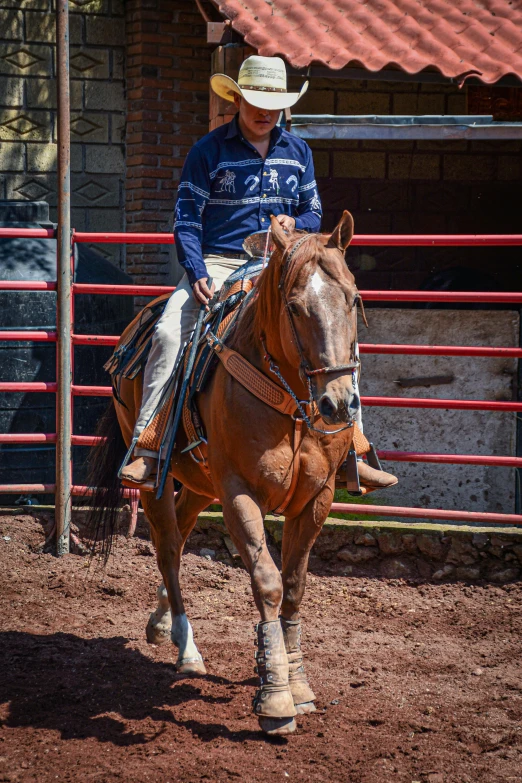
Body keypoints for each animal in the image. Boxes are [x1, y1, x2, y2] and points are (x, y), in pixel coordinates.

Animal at [87, 210, 360, 736]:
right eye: (294, 307)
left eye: (353, 299)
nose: (338, 404)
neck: (291, 402)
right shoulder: (239, 493)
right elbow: (269, 581)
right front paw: (275, 697)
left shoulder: (318, 498)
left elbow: (295, 587)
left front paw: (297, 681)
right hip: (158, 476)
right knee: (168, 545)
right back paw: (185, 646)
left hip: (200, 483)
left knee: (180, 530)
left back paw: (162, 623)